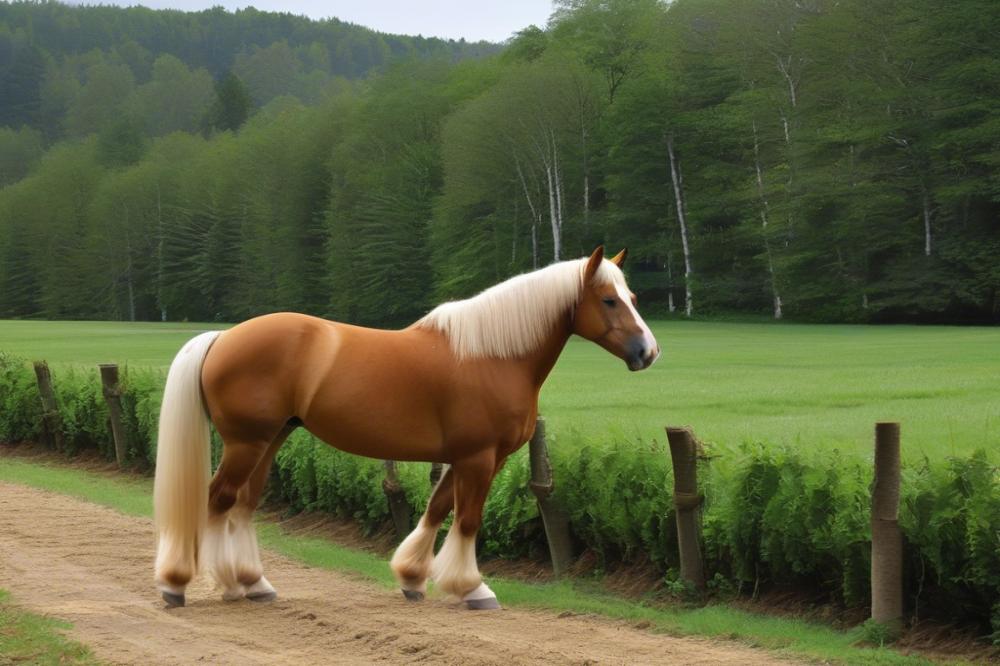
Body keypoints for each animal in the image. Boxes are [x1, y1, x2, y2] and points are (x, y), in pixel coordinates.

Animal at [154, 244, 656, 608]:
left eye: (632, 299)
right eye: (609, 301)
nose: (647, 352)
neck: (493, 356)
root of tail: (223, 337)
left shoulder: (463, 458)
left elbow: (436, 510)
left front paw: (413, 578)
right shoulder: (480, 458)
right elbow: (468, 520)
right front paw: (472, 588)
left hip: (270, 439)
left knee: (242, 505)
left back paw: (253, 583)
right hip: (247, 443)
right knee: (217, 501)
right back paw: (189, 584)